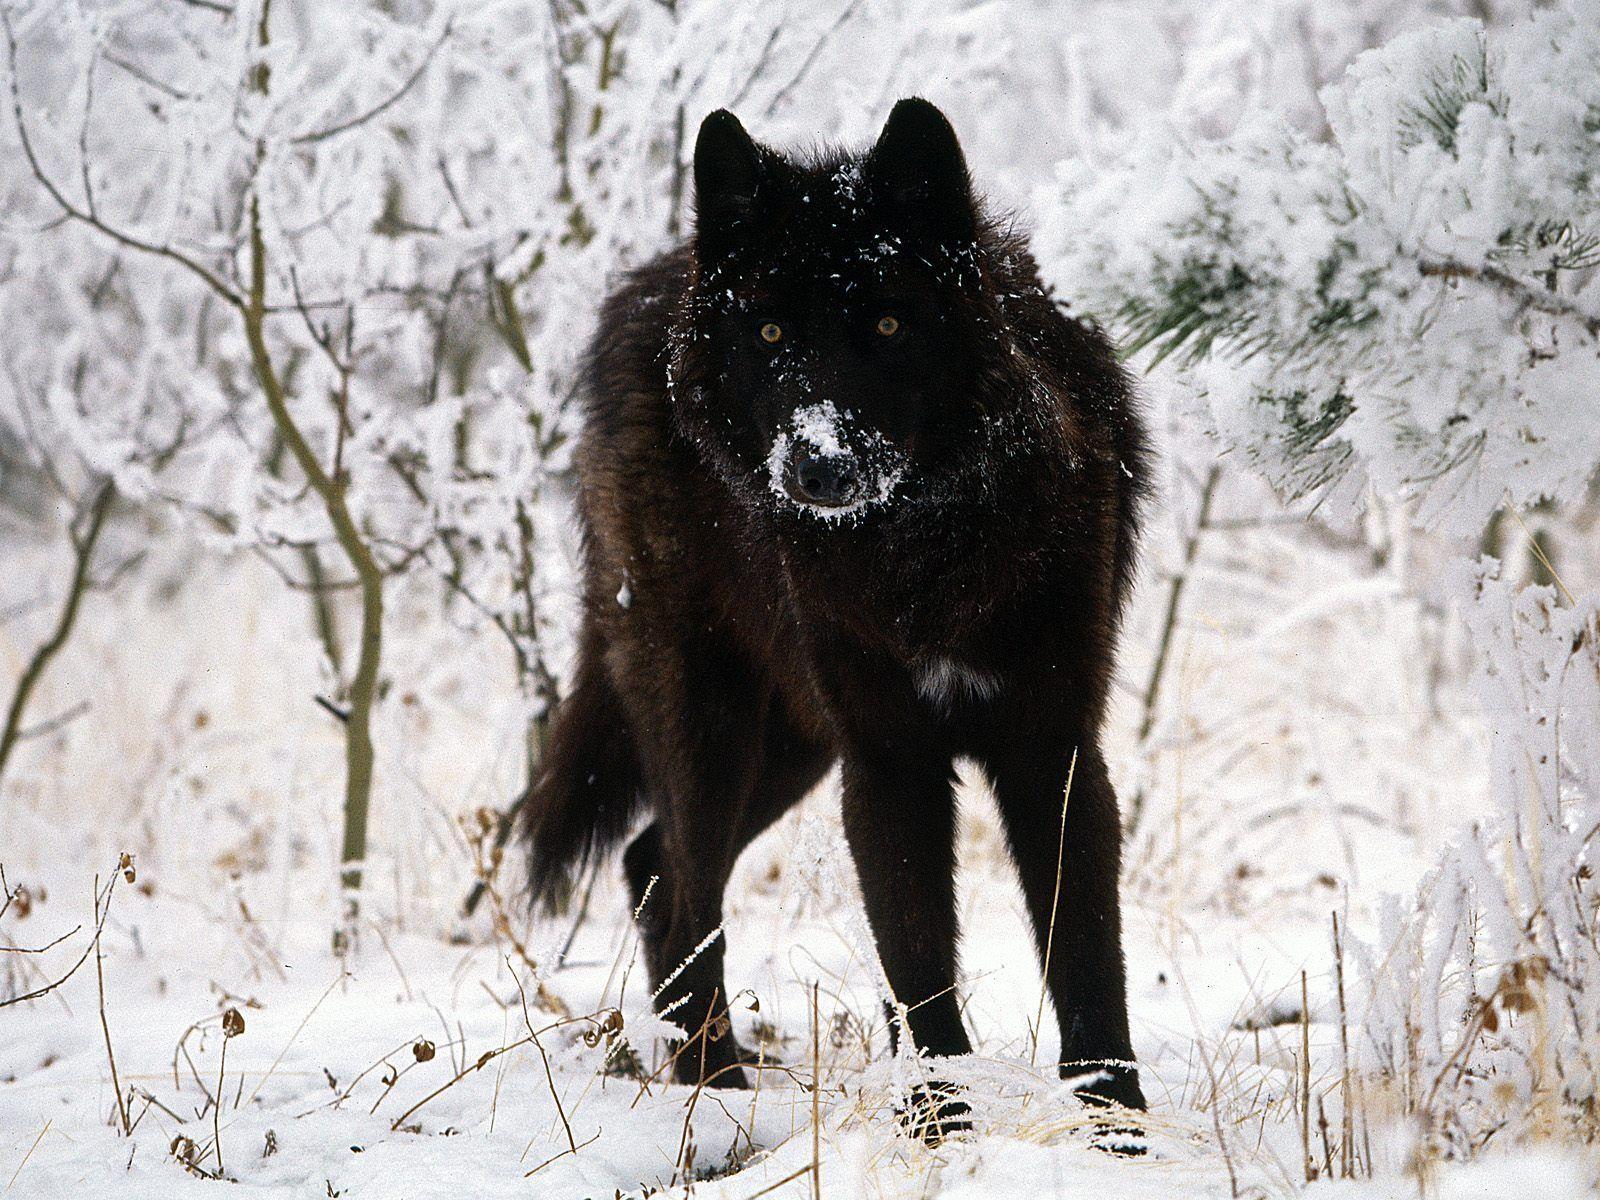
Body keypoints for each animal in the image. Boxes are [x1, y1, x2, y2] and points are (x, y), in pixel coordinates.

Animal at [522, 97, 1151, 1123]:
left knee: (651, 865)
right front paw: (938, 1124)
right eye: (773, 335)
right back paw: (716, 1091)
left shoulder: (1051, 750)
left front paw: (1118, 1127)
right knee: (682, 883)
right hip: (715, 726)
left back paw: (710, 1082)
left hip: (793, 744)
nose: (818, 467)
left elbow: (1088, 959)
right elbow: (918, 966)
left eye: (890, 323)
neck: (924, 555)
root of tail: (650, 285)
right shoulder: (888, 761)